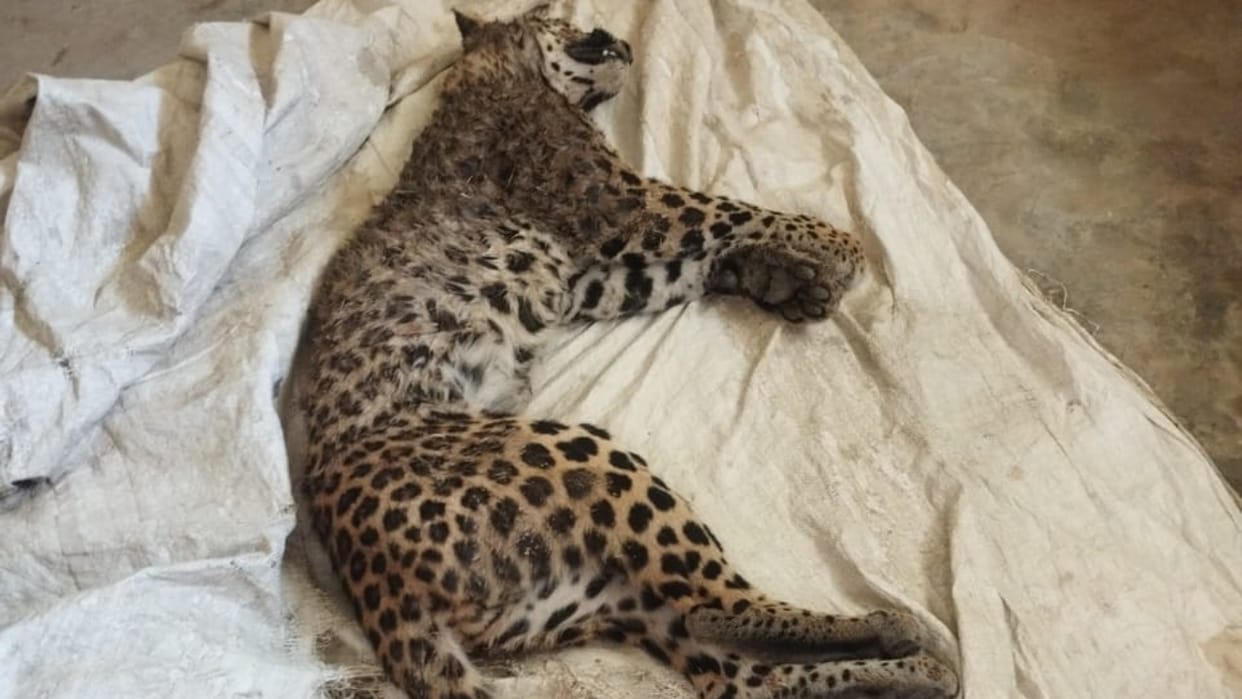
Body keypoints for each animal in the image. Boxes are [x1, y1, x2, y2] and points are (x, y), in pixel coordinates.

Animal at [295, 4, 960, 698]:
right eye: (559, 15)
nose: (620, 40)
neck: (495, 71)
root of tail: (374, 587)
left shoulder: (587, 277)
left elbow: (681, 268)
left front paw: (783, 277)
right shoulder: (625, 204)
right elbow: (734, 212)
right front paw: (839, 246)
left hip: (597, 595)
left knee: (741, 670)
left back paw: (914, 669)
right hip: (583, 462)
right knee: (717, 610)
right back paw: (902, 631)